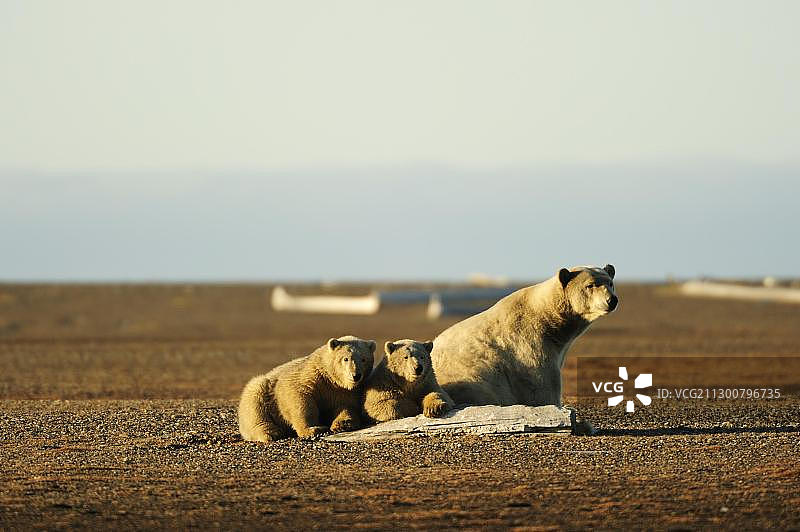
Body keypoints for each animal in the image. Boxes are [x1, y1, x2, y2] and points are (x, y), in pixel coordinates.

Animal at [238, 335, 376, 441]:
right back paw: (271, 433)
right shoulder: (309, 378)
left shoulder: (344, 391)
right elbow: (301, 401)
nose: (356, 375)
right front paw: (314, 429)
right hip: (264, 390)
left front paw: (343, 424)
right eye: (346, 358)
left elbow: (345, 406)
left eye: (364, 359)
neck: (329, 378)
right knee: (255, 404)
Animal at [431, 265, 618, 408]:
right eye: (590, 285)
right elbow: (542, 388)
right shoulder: (529, 345)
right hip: (470, 381)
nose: (612, 300)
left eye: (610, 283)